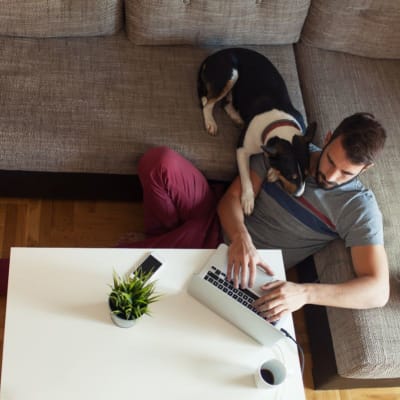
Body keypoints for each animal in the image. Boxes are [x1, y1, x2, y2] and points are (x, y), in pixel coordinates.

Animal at [197, 48, 316, 214]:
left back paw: (237, 117)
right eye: (290, 176)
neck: (279, 124)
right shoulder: (241, 150)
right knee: (208, 103)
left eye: (306, 174)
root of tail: (215, 54)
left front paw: (272, 172)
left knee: (225, 104)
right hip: (231, 74)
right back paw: (210, 122)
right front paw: (248, 199)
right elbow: (245, 176)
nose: (299, 195)